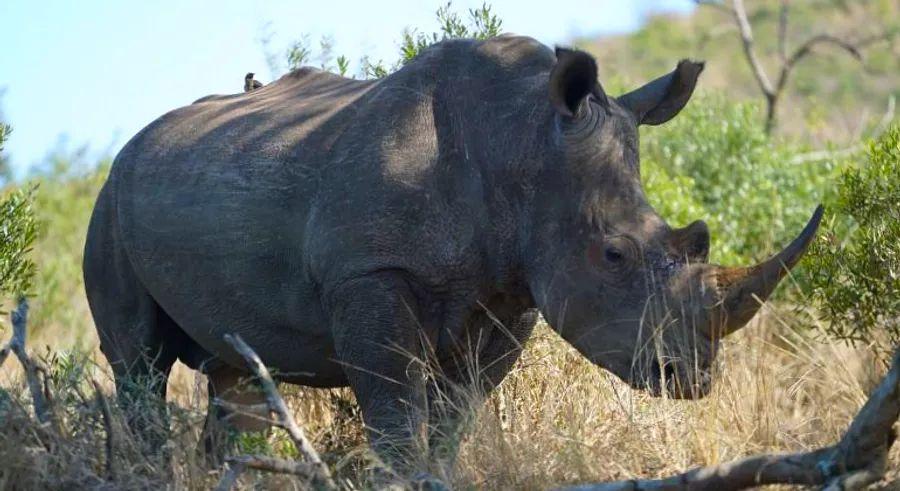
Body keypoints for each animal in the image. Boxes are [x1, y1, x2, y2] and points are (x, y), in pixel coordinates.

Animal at [83, 35, 822, 471]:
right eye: (613, 254)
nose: (690, 376)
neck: (521, 142)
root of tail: (132, 143)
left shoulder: (511, 293)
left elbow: (453, 419)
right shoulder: (369, 274)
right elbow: (395, 416)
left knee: (233, 375)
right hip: (110, 202)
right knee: (139, 364)